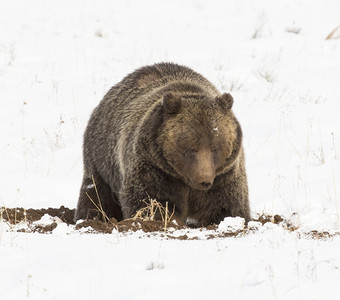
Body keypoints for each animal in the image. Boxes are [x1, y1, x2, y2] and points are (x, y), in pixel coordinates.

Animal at [74, 63, 250, 227]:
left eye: (215, 148)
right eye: (190, 148)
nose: (204, 180)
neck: (186, 181)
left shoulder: (224, 174)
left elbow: (226, 205)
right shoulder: (156, 168)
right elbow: (152, 200)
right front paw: (162, 220)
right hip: (102, 159)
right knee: (96, 193)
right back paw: (90, 218)